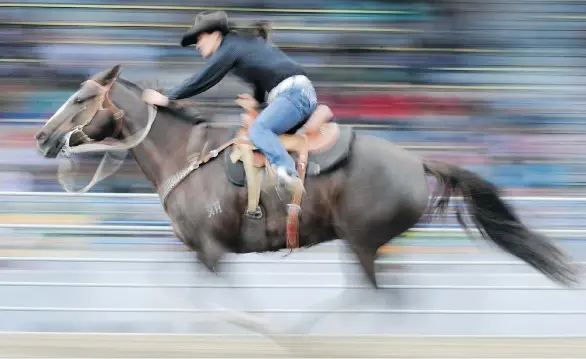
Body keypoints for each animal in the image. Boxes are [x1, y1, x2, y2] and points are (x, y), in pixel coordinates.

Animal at [34, 65, 576, 332]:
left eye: (81, 98)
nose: (41, 137)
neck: (184, 154)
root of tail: (417, 163)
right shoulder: (198, 250)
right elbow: (172, 285)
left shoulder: (212, 250)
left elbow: (223, 300)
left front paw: (253, 324)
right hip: (373, 245)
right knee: (388, 294)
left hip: (360, 242)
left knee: (373, 295)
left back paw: (302, 331)